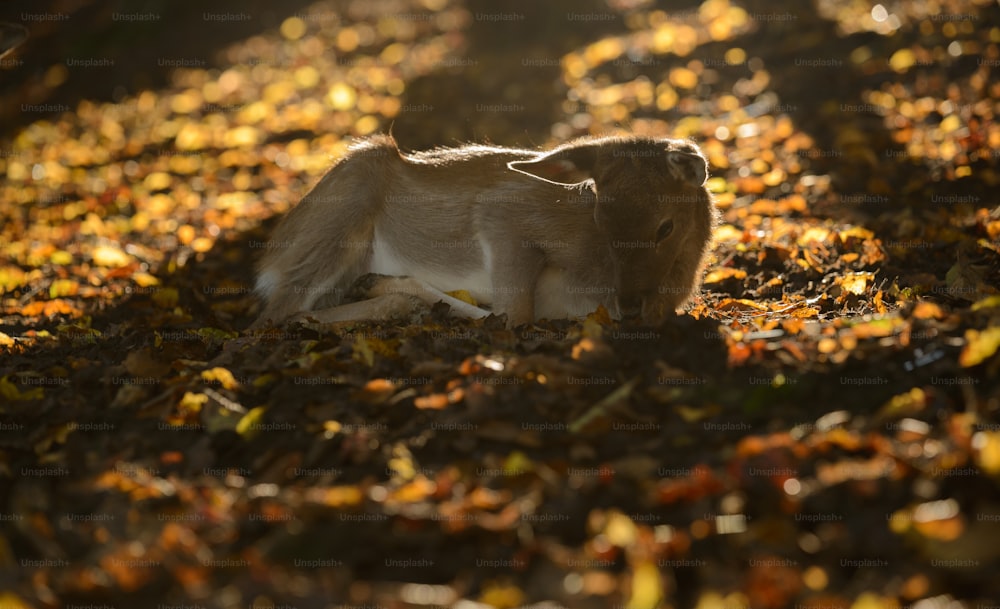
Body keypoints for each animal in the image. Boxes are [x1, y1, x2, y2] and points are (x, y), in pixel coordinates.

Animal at [254, 135, 716, 328]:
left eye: (666, 226)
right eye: (599, 219)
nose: (632, 306)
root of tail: (268, 259)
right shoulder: (503, 215)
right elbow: (513, 315)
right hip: (340, 214)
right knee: (275, 314)